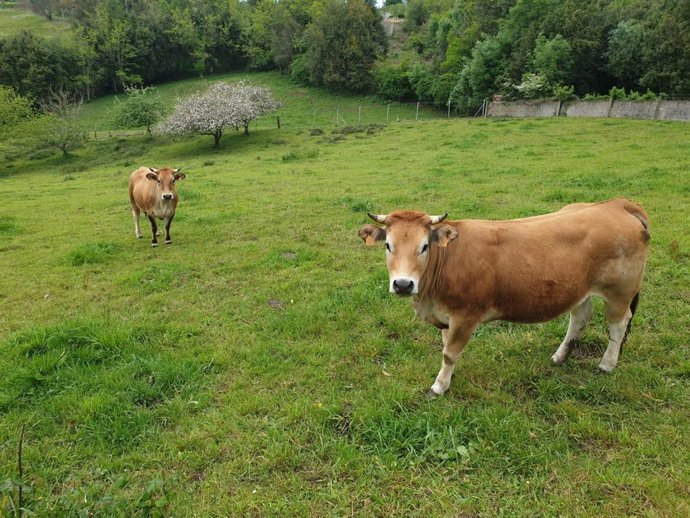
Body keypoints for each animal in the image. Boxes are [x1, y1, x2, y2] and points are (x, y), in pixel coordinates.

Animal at [358, 199, 650, 398]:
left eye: (424, 246)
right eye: (388, 245)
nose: (403, 284)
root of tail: (617, 204)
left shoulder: (466, 316)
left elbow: (449, 353)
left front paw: (439, 386)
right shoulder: (445, 316)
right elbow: (445, 347)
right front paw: (447, 379)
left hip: (619, 292)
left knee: (618, 325)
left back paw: (607, 365)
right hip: (579, 290)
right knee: (579, 319)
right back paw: (559, 357)